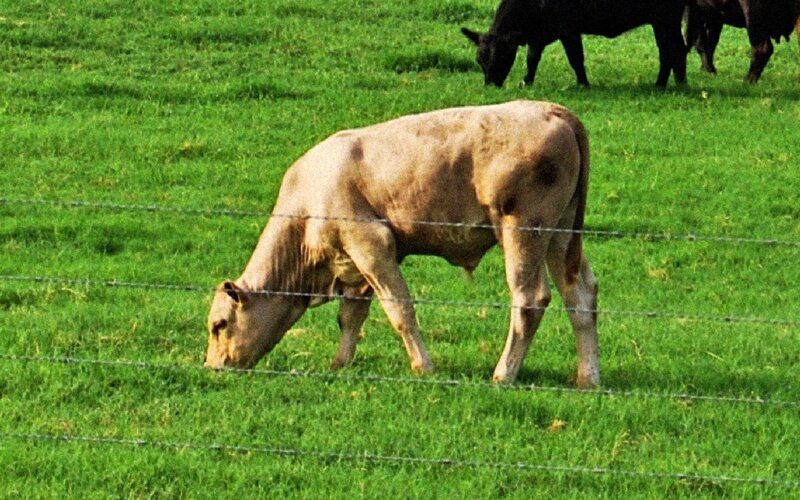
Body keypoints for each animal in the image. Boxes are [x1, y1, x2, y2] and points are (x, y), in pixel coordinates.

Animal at [204, 100, 600, 388]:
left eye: (219, 325)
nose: (212, 367)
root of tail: (551, 109)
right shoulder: (353, 264)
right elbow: (350, 316)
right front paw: (340, 362)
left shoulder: (372, 245)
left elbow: (400, 310)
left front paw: (423, 366)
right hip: (560, 236)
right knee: (580, 294)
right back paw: (588, 377)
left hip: (523, 231)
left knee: (530, 299)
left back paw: (503, 374)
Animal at [461, 0, 687, 88]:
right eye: (479, 60)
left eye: (501, 56)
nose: (490, 84)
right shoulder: (538, 36)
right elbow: (532, 59)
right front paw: (527, 82)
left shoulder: (568, 30)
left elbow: (576, 58)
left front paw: (583, 83)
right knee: (675, 50)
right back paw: (678, 82)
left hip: (665, 19)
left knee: (672, 49)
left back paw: (662, 84)